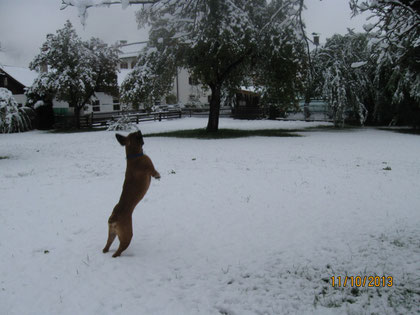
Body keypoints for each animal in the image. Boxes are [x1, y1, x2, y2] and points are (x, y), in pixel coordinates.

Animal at [102, 130, 160, 258]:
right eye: (136, 135)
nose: (139, 131)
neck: (134, 156)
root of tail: (114, 217)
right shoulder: (149, 165)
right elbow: (154, 171)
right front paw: (158, 175)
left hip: (111, 234)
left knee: (107, 246)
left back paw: (106, 250)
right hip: (127, 236)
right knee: (119, 250)